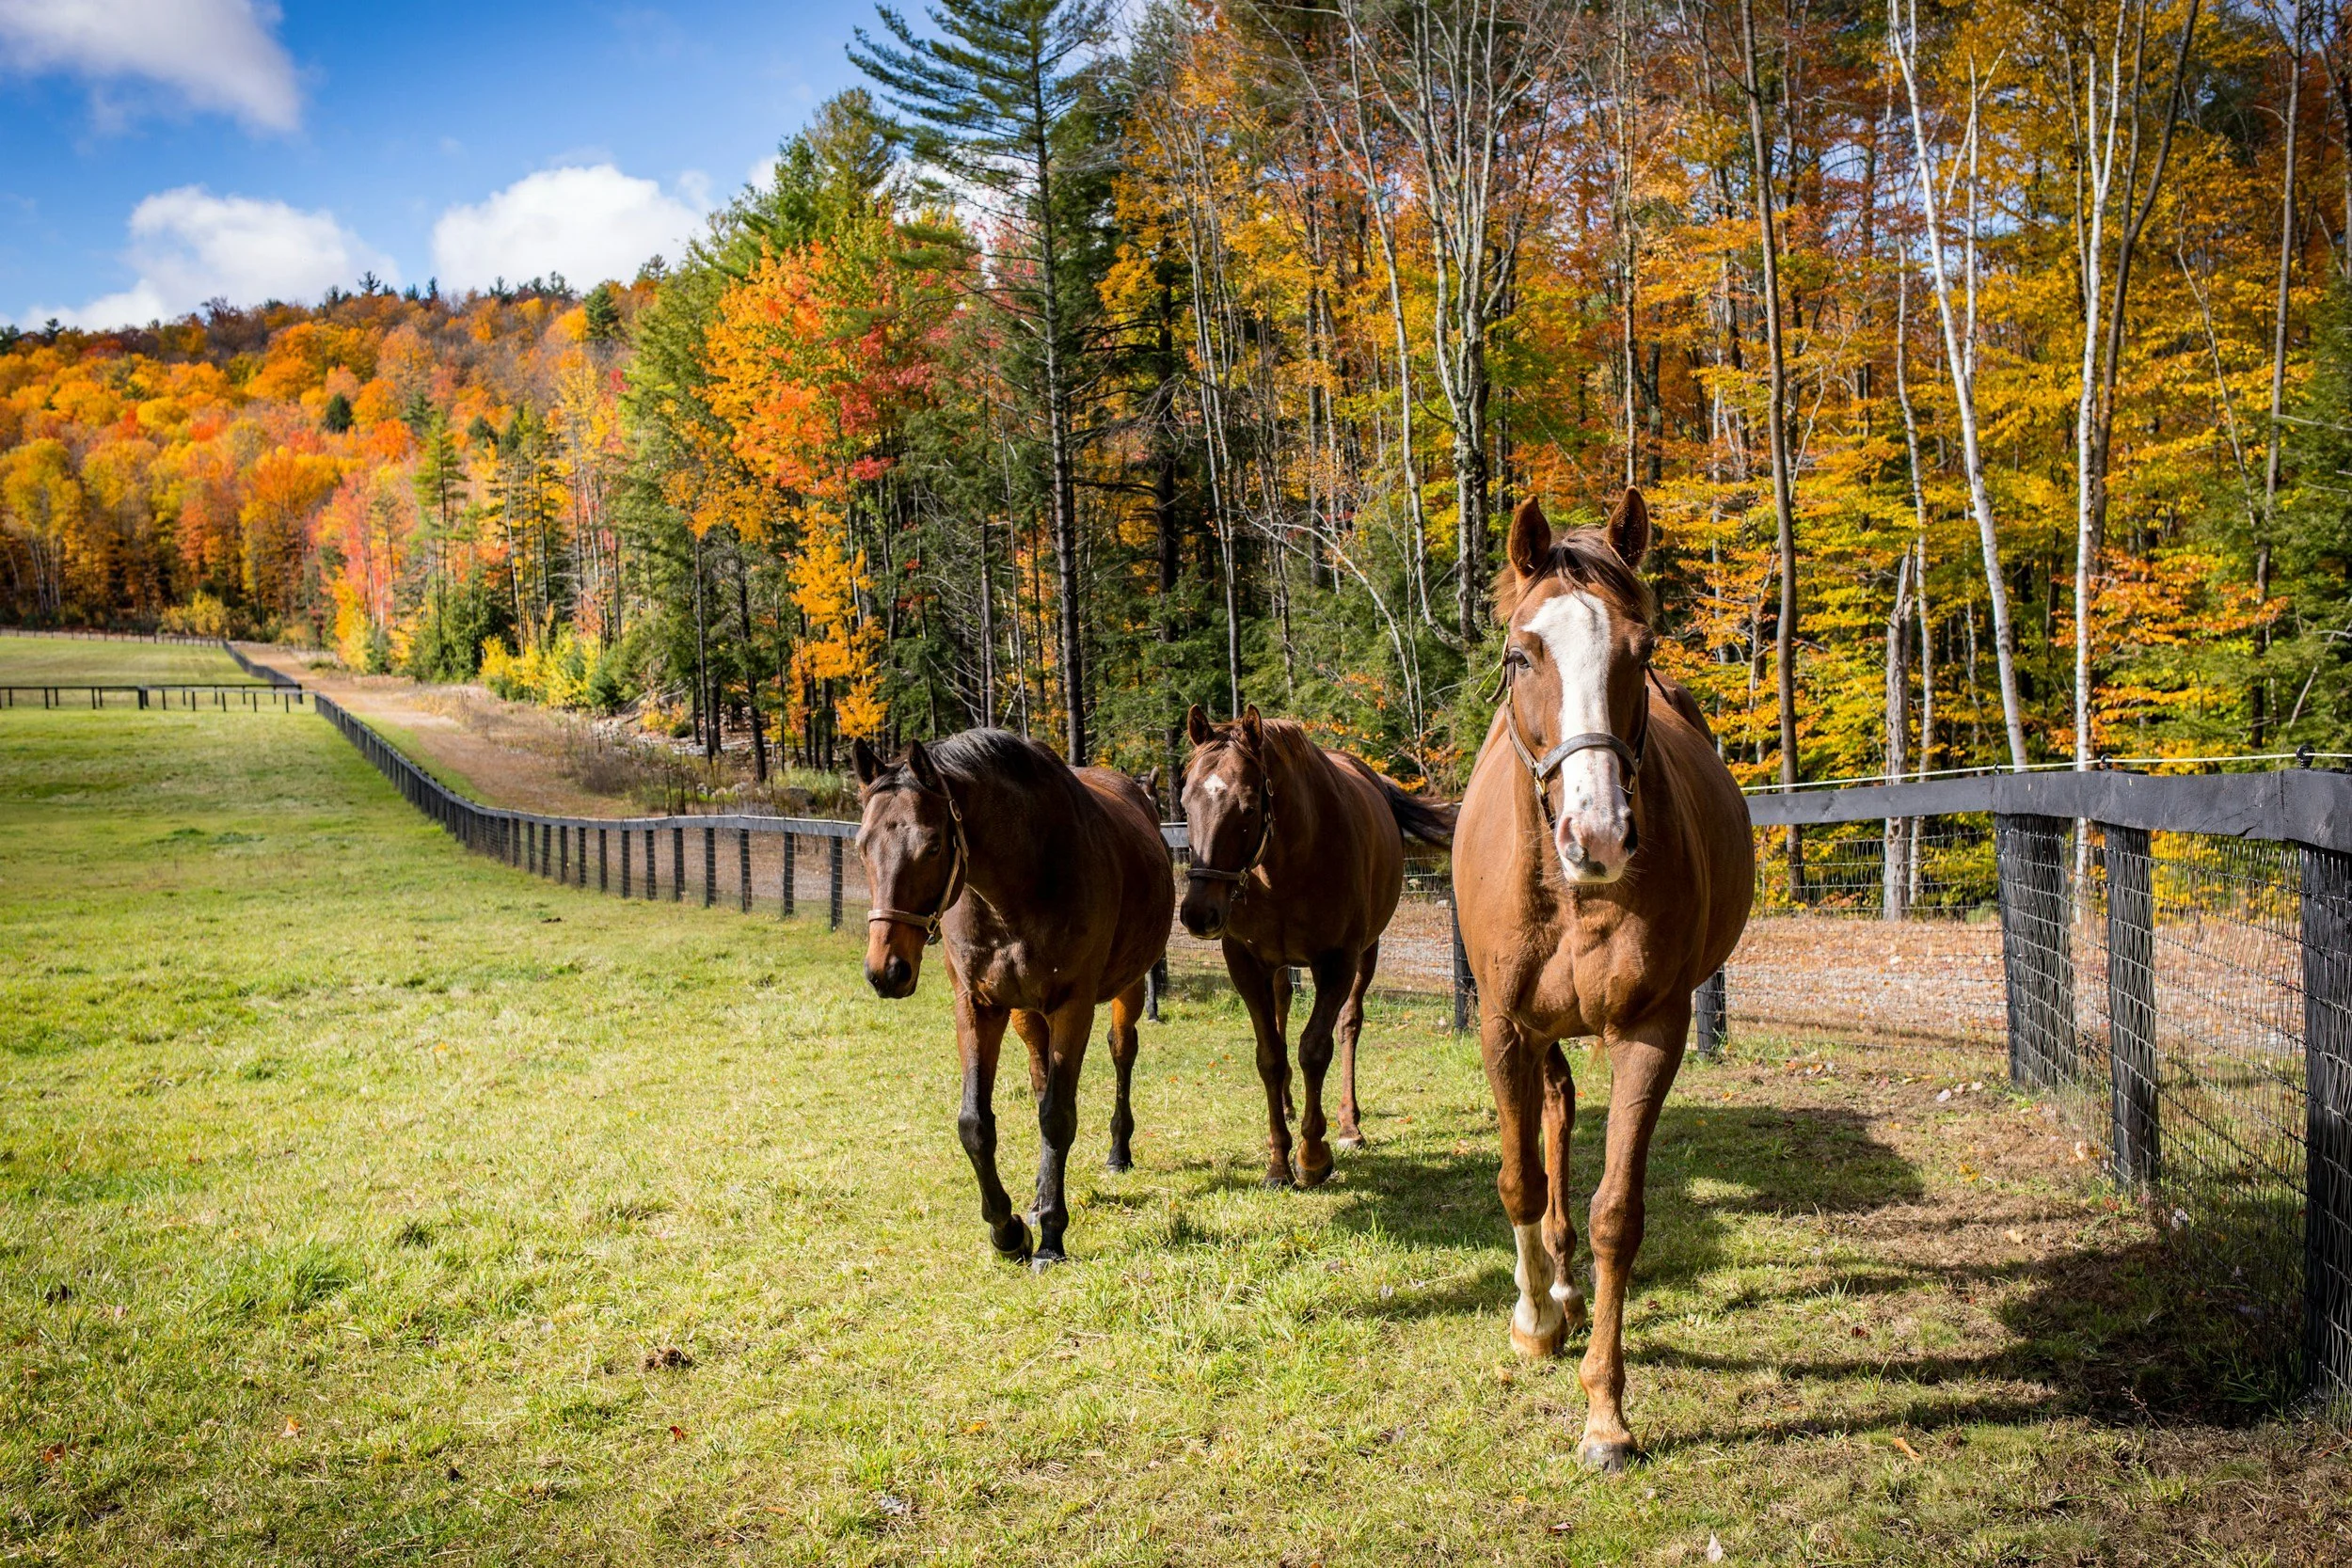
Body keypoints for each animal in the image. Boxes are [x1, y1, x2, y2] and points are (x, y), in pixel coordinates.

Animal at [853, 730, 1172, 1267]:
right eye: (861, 846)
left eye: (933, 845)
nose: (886, 970)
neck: (1021, 881)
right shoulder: (979, 1006)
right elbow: (976, 1124)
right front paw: (1008, 1229)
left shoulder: (1073, 1006)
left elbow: (1057, 1117)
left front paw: (1051, 1237)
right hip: (1026, 1013)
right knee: (1041, 1077)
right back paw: (1041, 1194)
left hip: (1126, 989)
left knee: (1121, 1053)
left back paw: (1117, 1152)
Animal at [1178, 705, 1456, 1188]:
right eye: (1185, 803)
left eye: (1248, 807)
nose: (1198, 913)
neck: (1285, 863)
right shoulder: (1245, 963)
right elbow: (1270, 1055)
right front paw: (1277, 1162)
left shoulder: (1337, 961)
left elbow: (1315, 1047)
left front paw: (1311, 1156)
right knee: (1282, 1008)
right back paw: (1290, 1105)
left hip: (1367, 954)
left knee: (1348, 1025)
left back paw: (1349, 1124)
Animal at [1452, 490, 1753, 1471]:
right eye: (1522, 652)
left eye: (1643, 650)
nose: (1600, 834)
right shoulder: (1504, 1026)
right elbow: (1518, 1178)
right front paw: (1535, 1320)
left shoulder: (1652, 1029)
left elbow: (1617, 1213)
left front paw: (1606, 1414)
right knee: (1548, 1123)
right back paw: (1548, 1287)